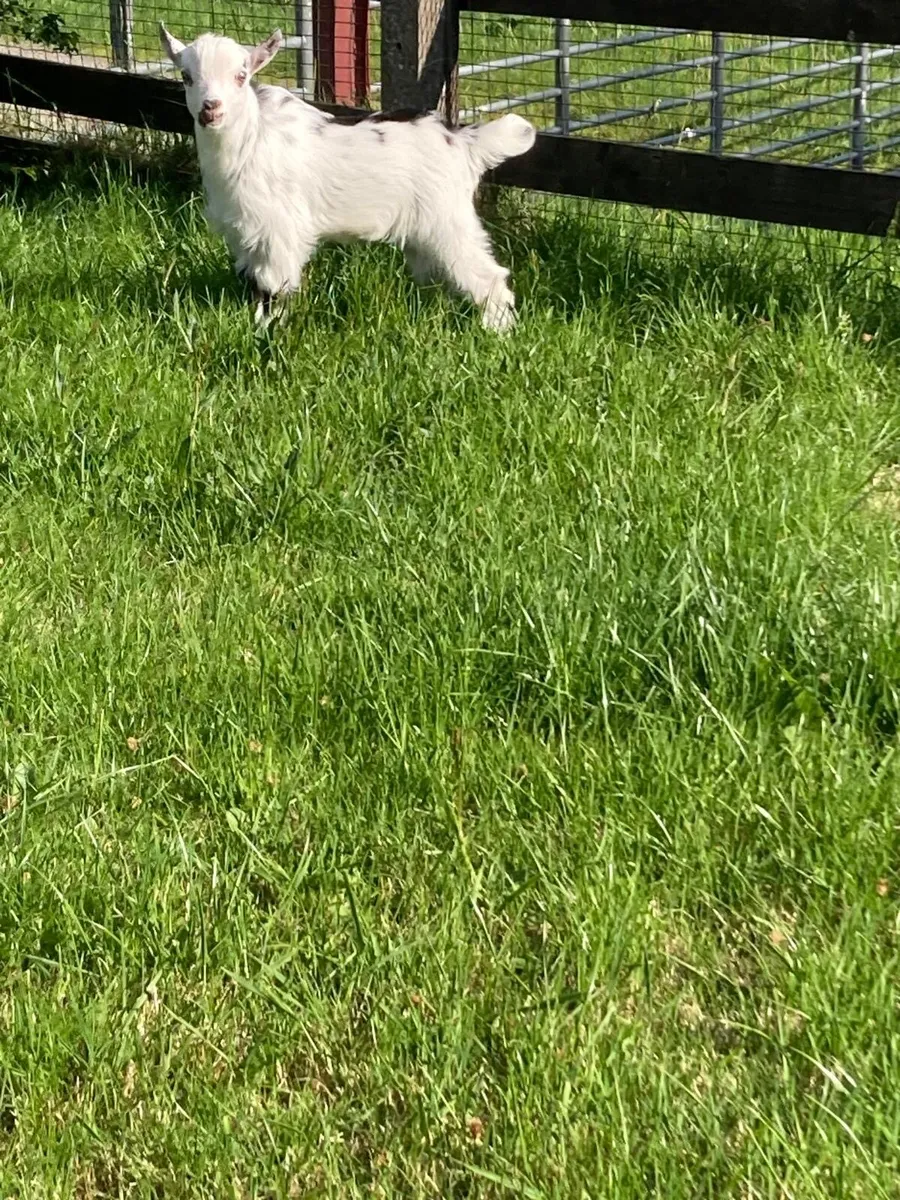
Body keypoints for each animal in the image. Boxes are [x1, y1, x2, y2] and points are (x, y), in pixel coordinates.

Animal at [159, 25, 536, 331]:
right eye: (186, 76)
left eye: (241, 75)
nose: (211, 109)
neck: (250, 140)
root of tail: (465, 142)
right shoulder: (244, 234)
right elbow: (251, 281)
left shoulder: (279, 231)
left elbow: (273, 287)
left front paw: (267, 330)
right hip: (425, 233)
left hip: (448, 221)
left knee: (488, 276)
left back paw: (497, 332)